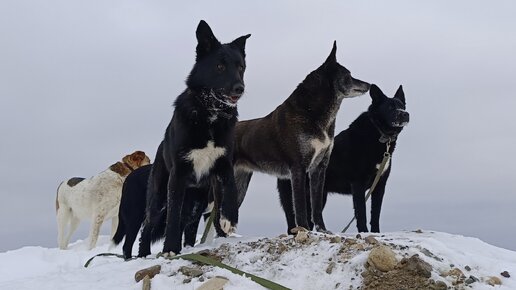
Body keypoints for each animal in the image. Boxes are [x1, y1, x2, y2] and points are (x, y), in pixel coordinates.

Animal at [137, 21, 250, 256]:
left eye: (241, 67)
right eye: (220, 66)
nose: (240, 88)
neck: (210, 113)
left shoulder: (223, 165)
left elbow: (231, 189)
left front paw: (229, 219)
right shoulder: (178, 175)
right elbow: (172, 217)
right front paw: (170, 248)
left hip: (197, 200)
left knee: (187, 223)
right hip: (159, 196)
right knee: (149, 224)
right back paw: (143, 254)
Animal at [276, 84, 410, 233]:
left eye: (403, 106)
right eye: (390, 107)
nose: (405, 114)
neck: (378, 132)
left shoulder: (379, 185)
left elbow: (375, 214)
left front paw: (376, 233)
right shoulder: (358, 184)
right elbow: (361, 213)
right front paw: (363, 232)